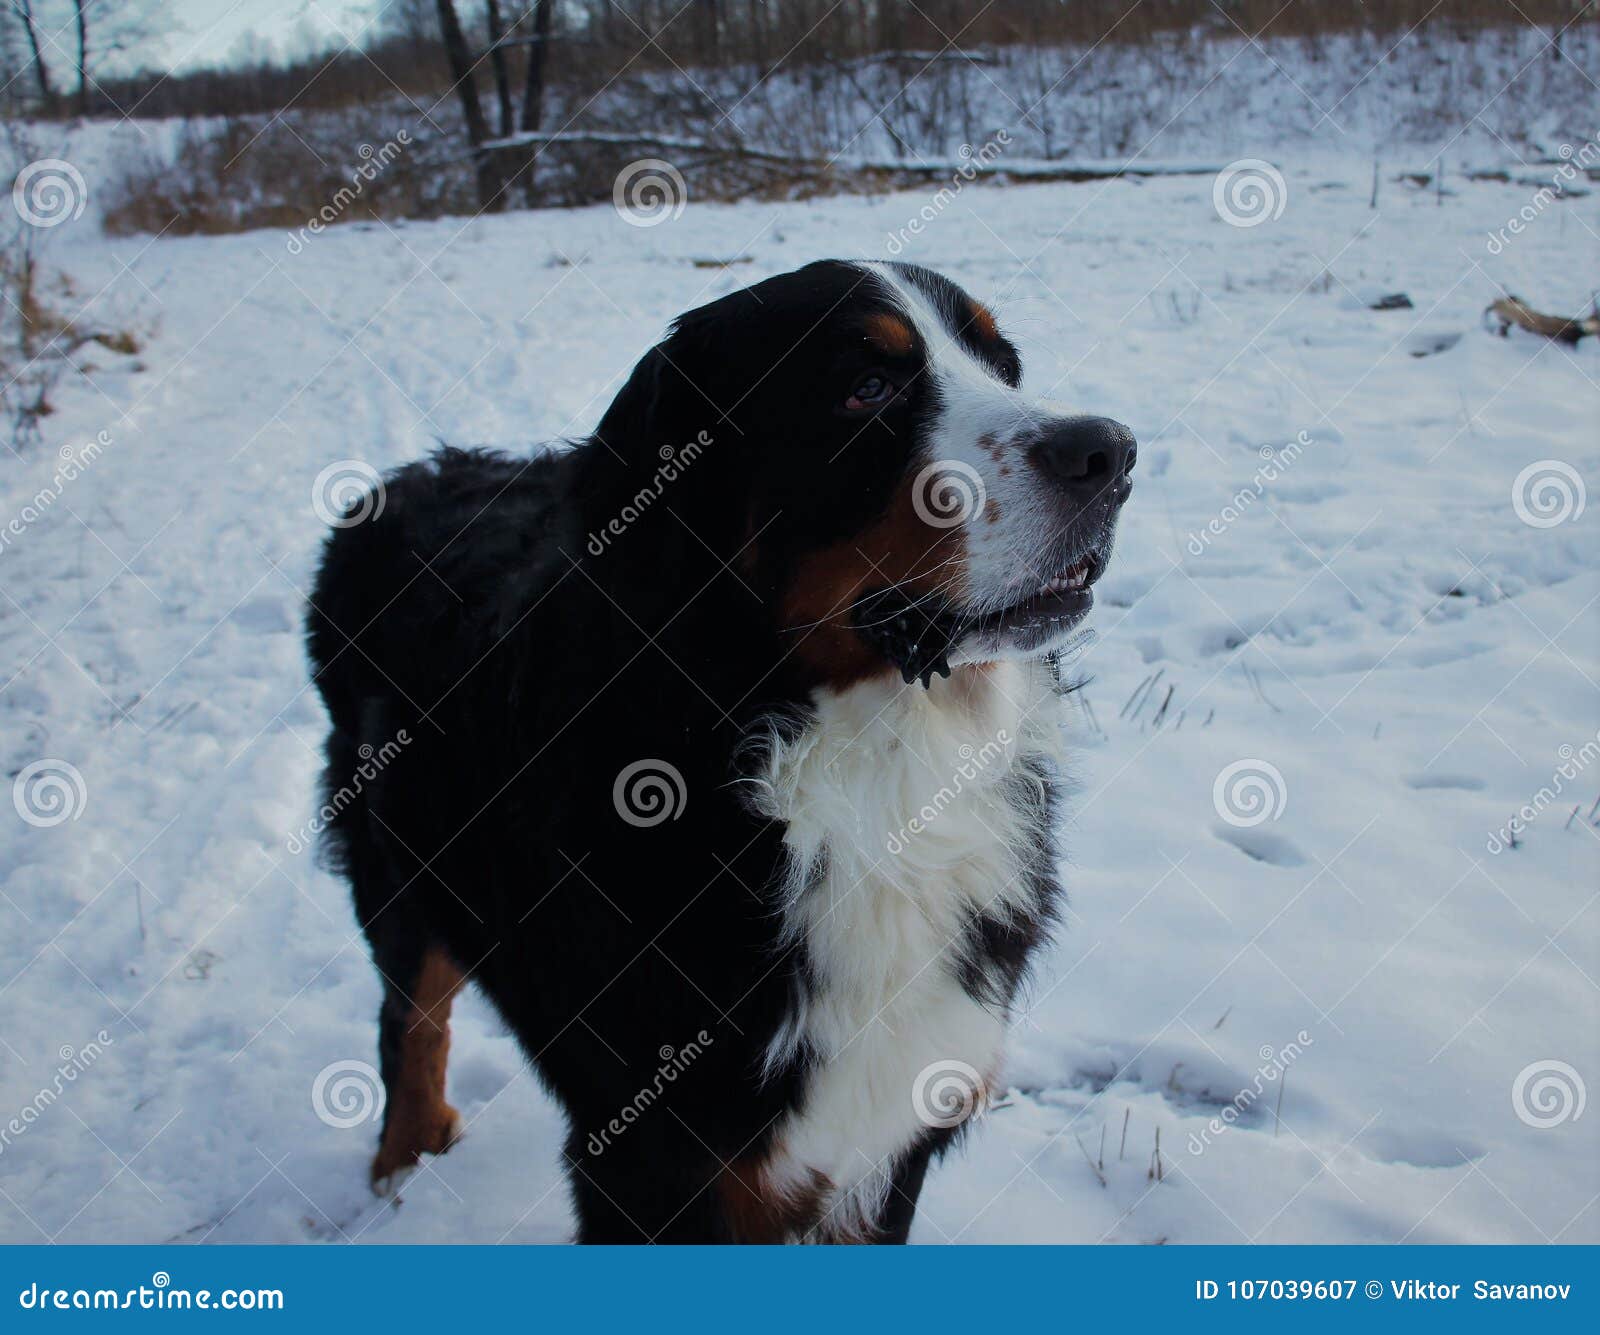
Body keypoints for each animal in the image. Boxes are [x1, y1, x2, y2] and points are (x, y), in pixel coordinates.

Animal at [305, 257, 1132, 1235]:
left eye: (1003, 365)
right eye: (867, 388)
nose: (1110, 452)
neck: (870, 783)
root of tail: (403, 481)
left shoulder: (890, 1135)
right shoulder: (657, 1165)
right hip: (396, 861)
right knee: (412, 1013)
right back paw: (406, 1157)